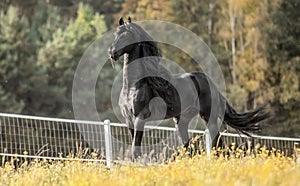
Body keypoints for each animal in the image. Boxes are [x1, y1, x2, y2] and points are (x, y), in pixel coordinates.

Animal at [108, 17, 270, 158]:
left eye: (127, 35)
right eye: (116, 34)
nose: (112, 52)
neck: (132, 86)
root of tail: (210, 83)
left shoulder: (140, 118)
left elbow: (135, 150)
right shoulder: (129, 120)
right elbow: (135, 147)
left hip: (208, 116)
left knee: (217, 142)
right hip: (181, 120)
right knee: (190, 147)